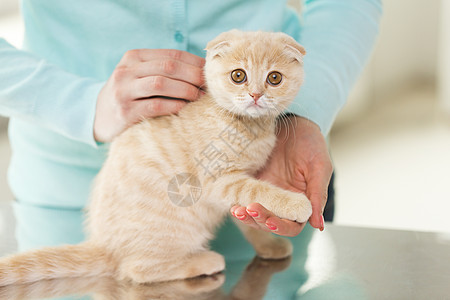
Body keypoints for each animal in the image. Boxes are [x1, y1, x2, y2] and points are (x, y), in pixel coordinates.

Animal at [0, 29, 312, 286]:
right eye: (238, 76)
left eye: (274, 78)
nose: (256, 95)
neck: (247, 126)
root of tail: (104, 246)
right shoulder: (218, 180)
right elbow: (258, 190)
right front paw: (296, 203)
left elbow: (248, 213)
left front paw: (269, 245)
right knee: (137, 270)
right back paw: (203, 261)